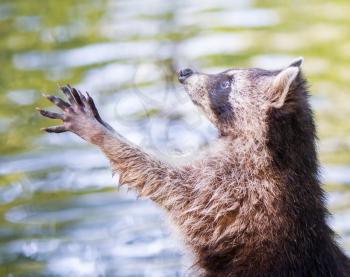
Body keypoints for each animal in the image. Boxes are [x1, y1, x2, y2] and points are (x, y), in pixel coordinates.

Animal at [38, 57, 350, 274]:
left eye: (227, 83)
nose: (185, 72)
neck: (284, 153)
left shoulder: (232, 190)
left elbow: (161, 181)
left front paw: (100, 133)